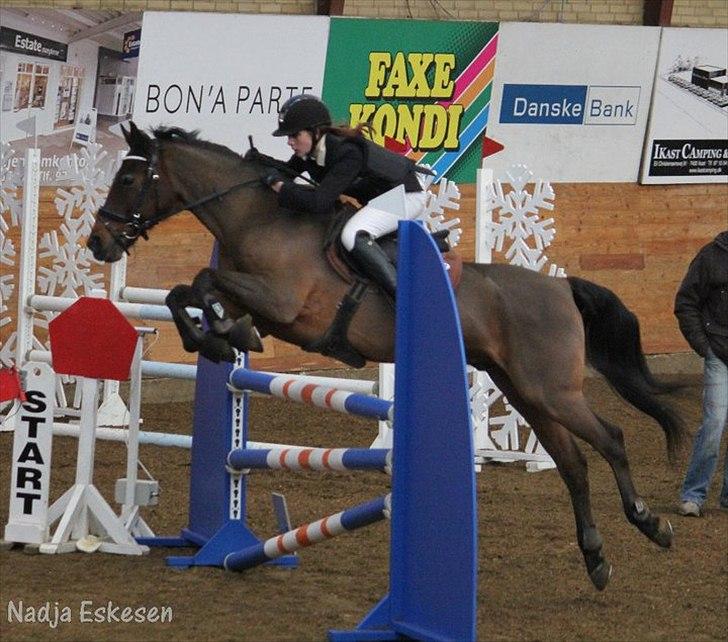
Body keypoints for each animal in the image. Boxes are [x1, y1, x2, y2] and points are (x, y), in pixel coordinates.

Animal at [88, 122, 685, 591]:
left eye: (129, 179)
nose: (98, 242)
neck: (262, 218)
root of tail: (561, 288)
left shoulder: (283, 303)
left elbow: (203, 280)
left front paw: (221, 335)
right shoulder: (256, 300)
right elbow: (186, 291)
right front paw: (216, 337)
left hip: (550, 389)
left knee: (612, 439)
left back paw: (650, 523)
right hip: (525, 391)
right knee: (574, 464)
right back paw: (597, 558)